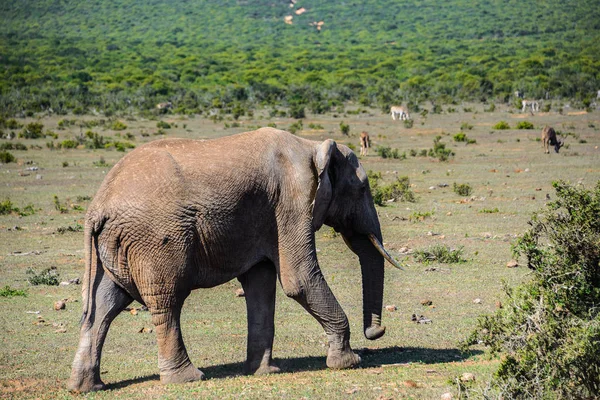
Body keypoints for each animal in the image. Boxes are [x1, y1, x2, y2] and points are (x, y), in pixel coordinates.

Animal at [68, 127, 400, 390]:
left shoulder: (269, 216)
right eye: (362, 188)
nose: (376, 332)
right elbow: (300, 280)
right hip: (154, 239)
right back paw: (187, 379)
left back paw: (87, 387)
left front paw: (264, 372)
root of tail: (97, 206)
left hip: (114, 245)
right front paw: (349, 362)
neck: (312, 145)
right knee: (166, 302)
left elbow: (261, 286)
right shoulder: (292, 201)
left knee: (103, 306)